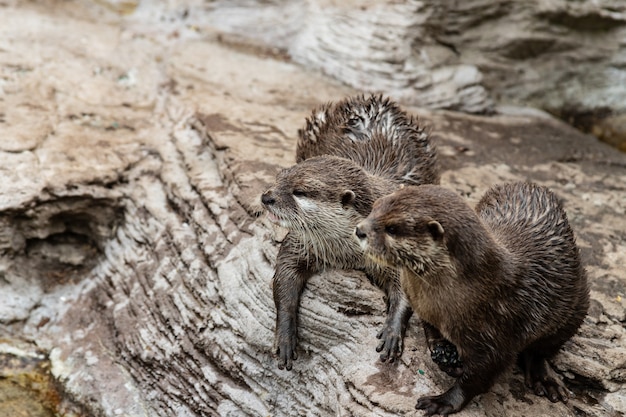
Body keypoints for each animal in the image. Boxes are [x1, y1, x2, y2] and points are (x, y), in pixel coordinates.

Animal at [354, 183, 588, 416]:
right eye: (375, 207)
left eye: (392, 228)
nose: (359, 230)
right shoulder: (422, 306)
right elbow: (430, 329)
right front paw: (443, 352)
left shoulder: (499, 337)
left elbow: (478, 378)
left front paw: (443, 401)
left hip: (576, 307)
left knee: (544, 348)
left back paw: (544, 377)